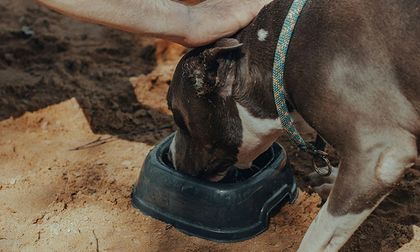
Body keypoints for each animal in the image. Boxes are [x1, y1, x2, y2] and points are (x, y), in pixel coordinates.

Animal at [166, 0, 418, 251]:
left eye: (177, 116)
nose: (170, 153)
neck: (280, 50)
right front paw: (333, 178)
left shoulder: (381, 153)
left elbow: (319, 233)